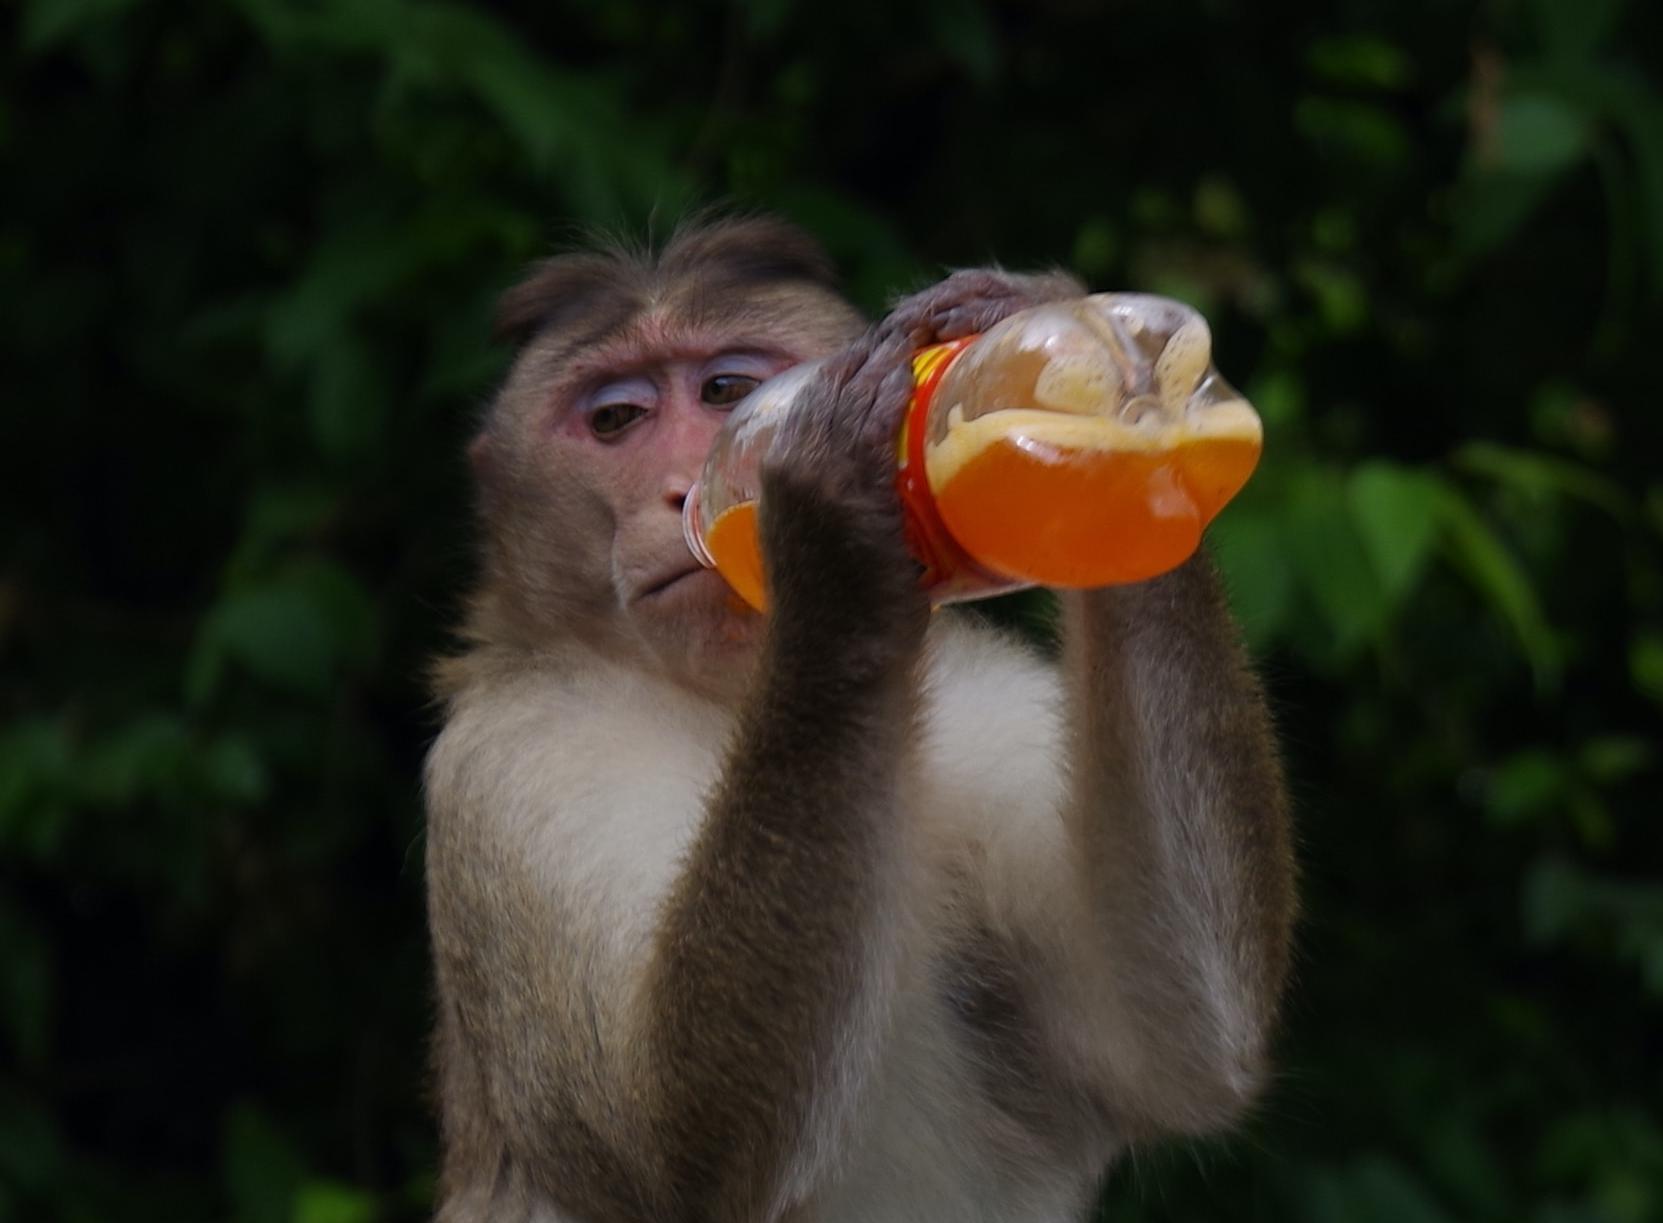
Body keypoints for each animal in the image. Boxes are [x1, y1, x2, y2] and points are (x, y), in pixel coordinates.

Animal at [423, 214, 1296, 1223]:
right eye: (614, 420)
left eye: (723, 388)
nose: (685, 486)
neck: (731, 698)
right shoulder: (511, 762)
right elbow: (675, 1148)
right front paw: (830, 509)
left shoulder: (979, 701)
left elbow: (1173, 1047)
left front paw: (1036, 316)